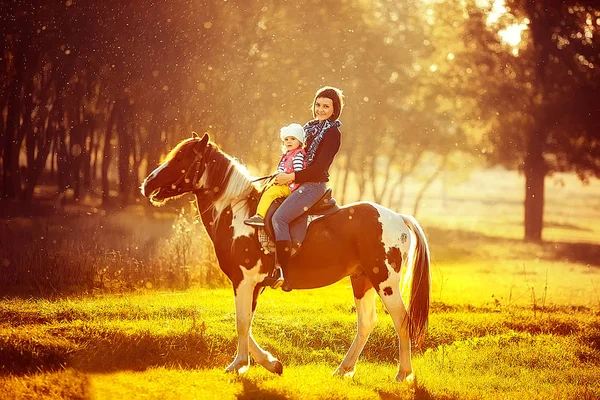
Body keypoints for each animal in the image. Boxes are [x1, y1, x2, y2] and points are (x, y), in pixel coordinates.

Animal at [141, 132, 432, 382]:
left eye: (181, 157)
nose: (147, 184)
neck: (237, 214)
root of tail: (398, 218)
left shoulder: (243, 281)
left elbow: (242, 322)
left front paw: (239, 364)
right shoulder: (253, 285)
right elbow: (247, 323)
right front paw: (271, 363)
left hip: (385, 282)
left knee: (401, 320)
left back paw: (403, 374)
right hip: (362, 280)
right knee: (366, 323)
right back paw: (344, 369)